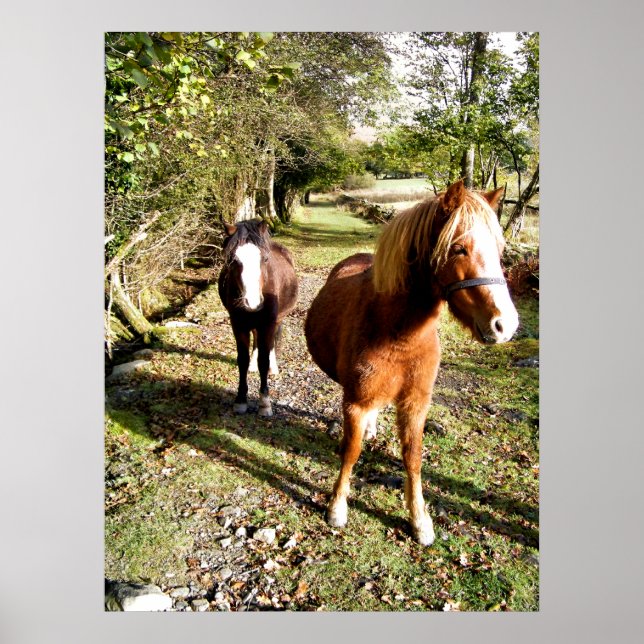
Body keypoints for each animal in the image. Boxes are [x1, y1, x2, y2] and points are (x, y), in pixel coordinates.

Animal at [218, 219, 298, 417]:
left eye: (265, 259)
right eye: (233, 260)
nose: (252, 302)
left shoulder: (267, 324)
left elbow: (264, 359)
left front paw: (264, 403)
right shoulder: (238, 325)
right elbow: (242, 360)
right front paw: (240, 400)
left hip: (276, 320)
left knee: (271, 344)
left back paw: (273, 367)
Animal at [304, 180, 519, 546]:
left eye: (500, 249)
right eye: (459, 249)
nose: (505, 325)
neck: (398, 333)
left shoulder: (416, 403)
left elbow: (414, 457)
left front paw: (420, 520)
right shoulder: (355, 403)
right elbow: (351, 451)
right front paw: (336, 507)